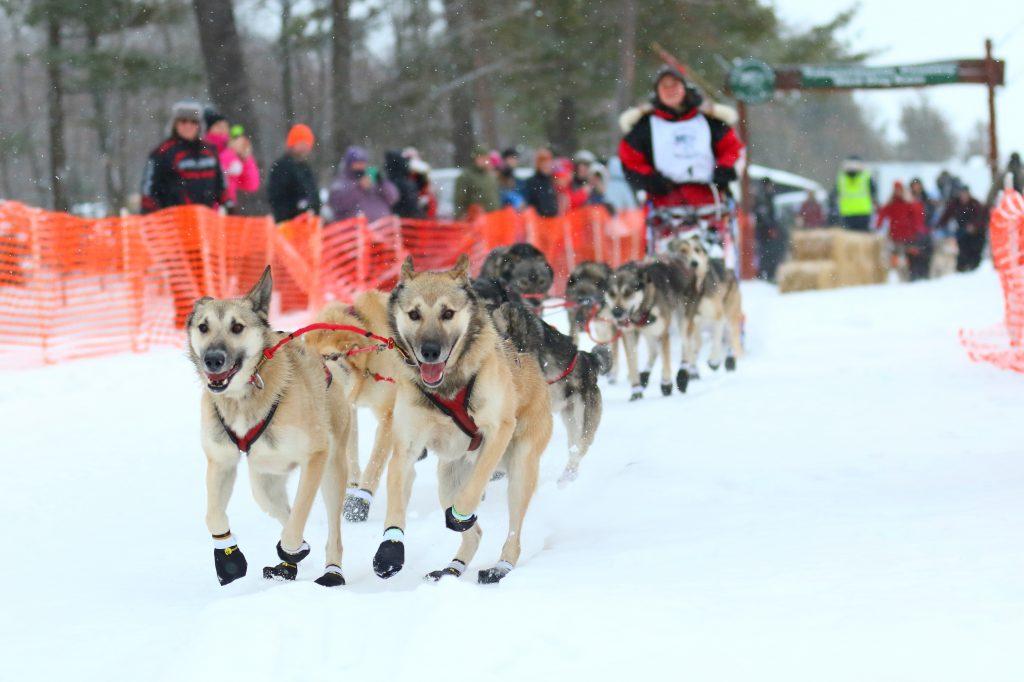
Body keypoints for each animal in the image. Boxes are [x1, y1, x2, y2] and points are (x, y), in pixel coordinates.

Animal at [188, 266, 352, 585]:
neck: (243, 397)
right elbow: (213, 516)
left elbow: (296, 524)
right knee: (281, 509)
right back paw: (287, 567)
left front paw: (292, 549)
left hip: (331, 471)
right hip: (264, 483)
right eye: (203, 327)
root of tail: (327, 363)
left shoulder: (316, 457)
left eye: (237, 327)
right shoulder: (221, 462)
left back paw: (331, 572)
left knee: (332, 533)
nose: (213, 359)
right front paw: (229, 557)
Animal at [303, 290, 399, 520]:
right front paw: (351, 487)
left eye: (329, 358)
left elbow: (375, 462)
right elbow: (350, 451)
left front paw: (360, 501)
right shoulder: (349, 408)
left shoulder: (389, 415)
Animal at [372, 251, 552, 581]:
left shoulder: (498, 430)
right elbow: (395, 501)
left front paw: (460, 514)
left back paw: (500, 567)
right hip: (448, 477)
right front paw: (390, 550)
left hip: (520, 467)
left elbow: (472, 491)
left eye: (447, 313)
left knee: (513, 533)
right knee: (475, 535)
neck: (449, 387)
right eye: (414, 314)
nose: (430, 350)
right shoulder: (406, 448)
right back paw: (451, 568)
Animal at [602, 258, 692, 401]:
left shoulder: (662, 333)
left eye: (628, 292)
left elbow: (665, 360)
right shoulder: (629, 334)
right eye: (611, 293)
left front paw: (666, 384)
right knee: (654, 350)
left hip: (681, 321)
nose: (617, 313)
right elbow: (632, 363)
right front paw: (636, 391)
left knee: (687, 345)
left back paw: (682, 375)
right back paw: (644, 375)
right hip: (647, 332)